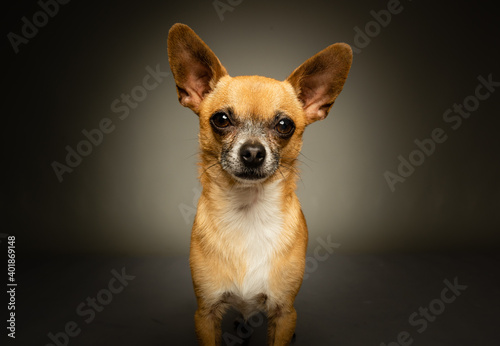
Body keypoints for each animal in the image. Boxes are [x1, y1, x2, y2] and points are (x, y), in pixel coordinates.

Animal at [168, 23, 352, 344]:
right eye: (221, 119)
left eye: (285, 125)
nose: (253, 152)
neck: (248, 213)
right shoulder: (205, 313)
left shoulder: (284, 313)